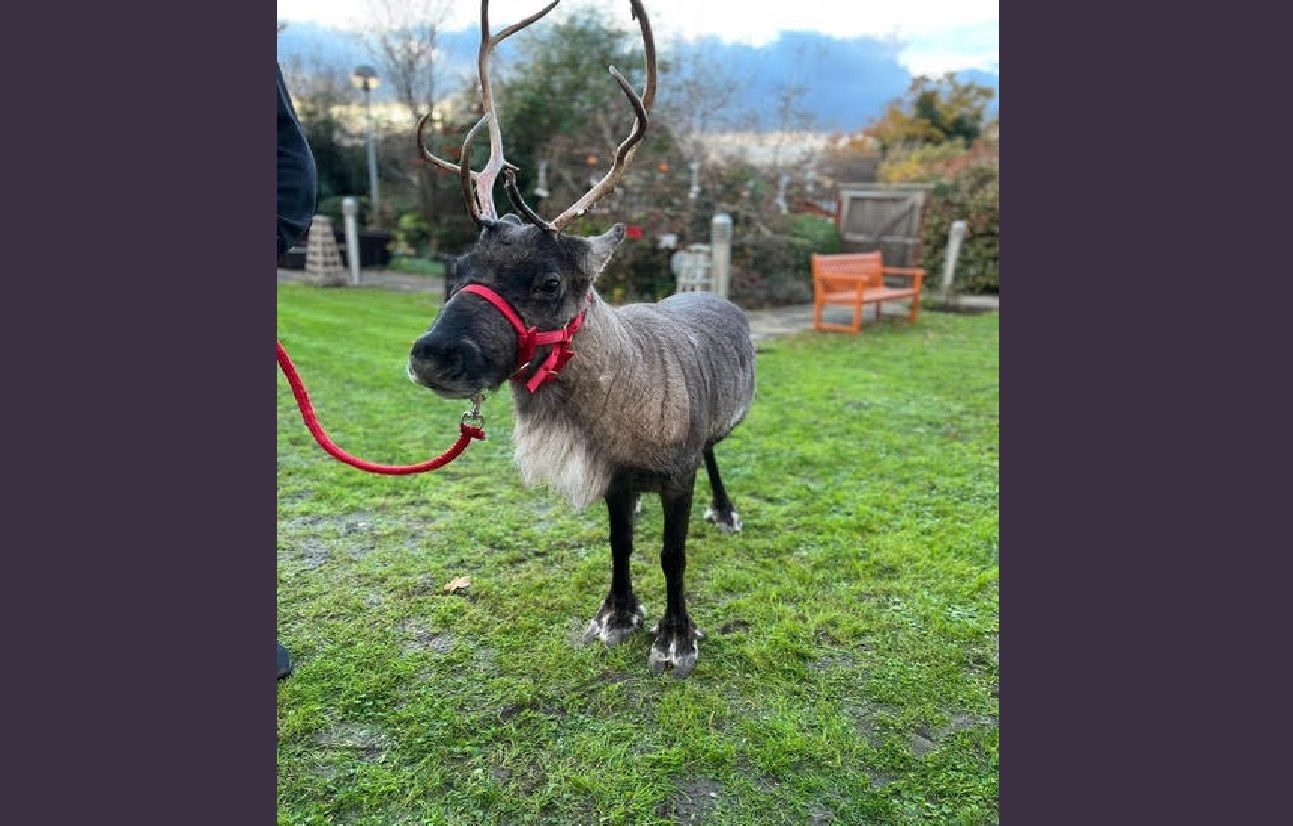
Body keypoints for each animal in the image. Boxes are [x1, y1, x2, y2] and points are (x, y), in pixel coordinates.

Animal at [406, 0, 755, 678]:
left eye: (548, 282)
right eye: (458, 268)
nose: (433, 355)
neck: (612, 416)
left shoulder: (676, 472)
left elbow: (673, 555)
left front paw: (676, 637)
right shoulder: (615, 478)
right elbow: (619, 543)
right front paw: (616, 615)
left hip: (717, 427)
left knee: (714, 454)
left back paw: (725, 511)